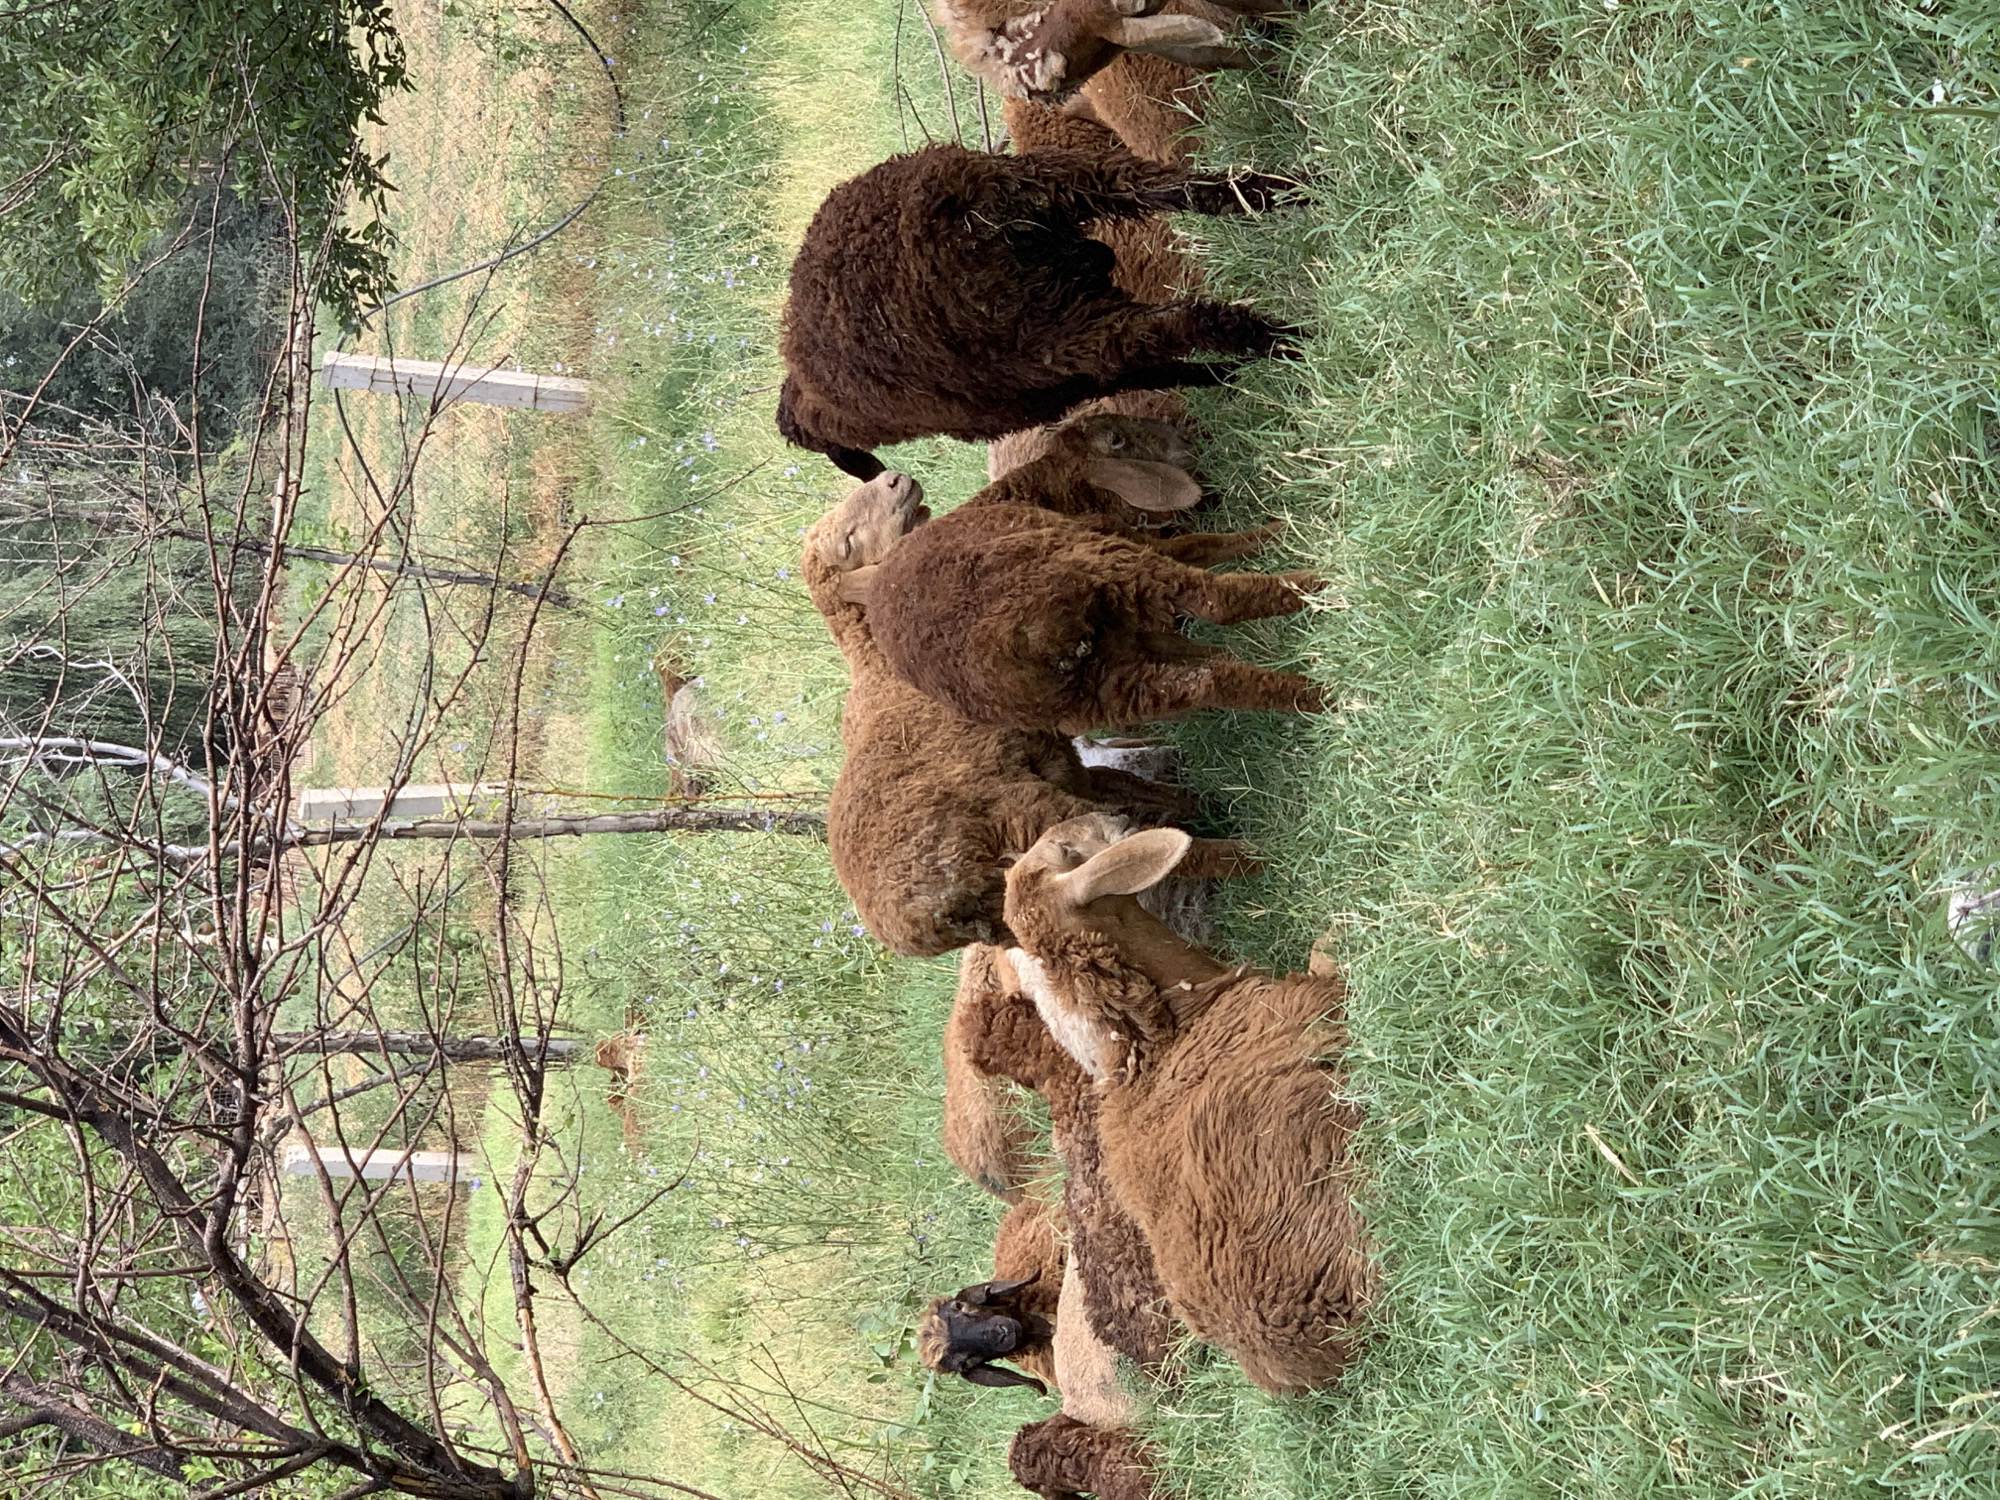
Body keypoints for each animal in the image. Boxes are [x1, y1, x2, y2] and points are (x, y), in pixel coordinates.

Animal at [778, 143, 1304, 479]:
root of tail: (959, 212)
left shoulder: (1065, 382)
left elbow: (1162, 370)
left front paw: (1233, 372)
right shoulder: (1072, 379)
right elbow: (1165, 372)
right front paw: (1228, 377)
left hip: (1050, 325)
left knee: (1181, 324)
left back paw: (1292, 341)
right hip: (1065, 185)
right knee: (1175, 188)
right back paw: (1287, 191)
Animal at [804, 478, 1259, 956]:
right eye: (848, 542)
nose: (894, 479)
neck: (882, 673)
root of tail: (922, 923)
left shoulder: (1063, 759)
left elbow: (1134, 783)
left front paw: (1201, 802)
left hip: (1008, 909)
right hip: (1023, 813)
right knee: (1166, 854)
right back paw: (1255, 853)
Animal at [824, 478, 1323, 735]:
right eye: (848, 539)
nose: (899, 480)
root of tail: (1027, 639)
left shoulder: (1126, 637)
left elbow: (1197, 652)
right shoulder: (1117, 545)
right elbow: (1202, 546)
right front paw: (1272, 534)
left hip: (1102, 692)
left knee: (1212, 681)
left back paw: (1314, 697)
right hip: (1110, 569)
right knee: (1219, 602)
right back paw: (1318, 588)